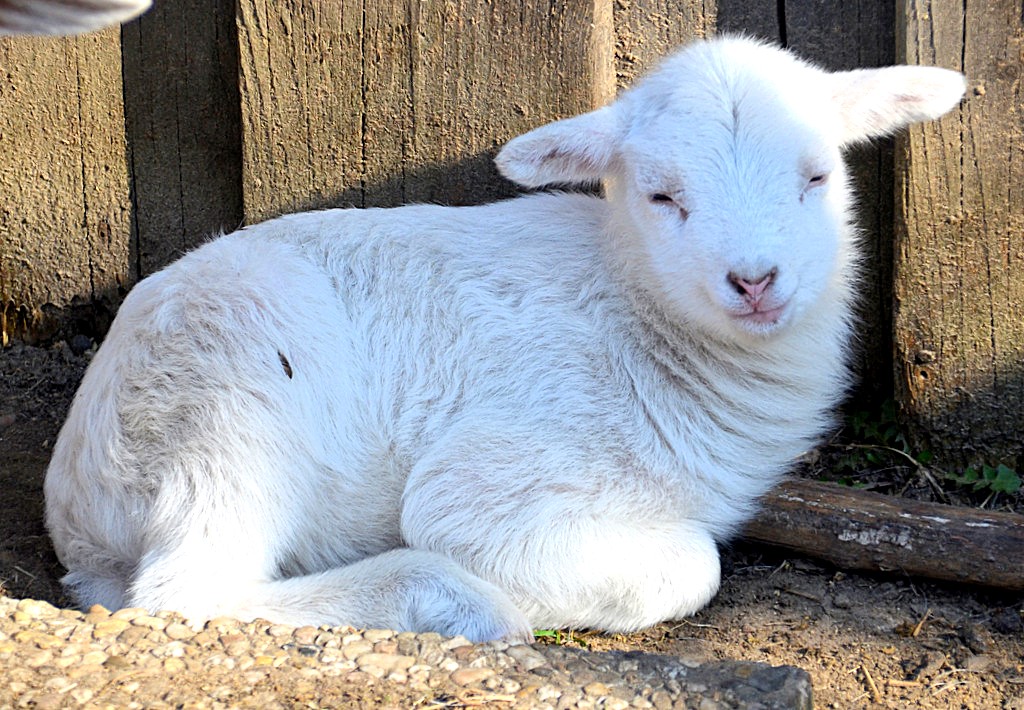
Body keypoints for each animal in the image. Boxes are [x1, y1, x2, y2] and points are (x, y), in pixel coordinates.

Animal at [44, 36, 962, 639]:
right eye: (663, 197)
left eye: (818, 175)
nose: (756, 279)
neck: (637, 317)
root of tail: (77, 512)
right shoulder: (488, 477)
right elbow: (692, 565)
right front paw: (522, 596)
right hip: (230, 410)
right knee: (179, 596)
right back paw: (452, 601)